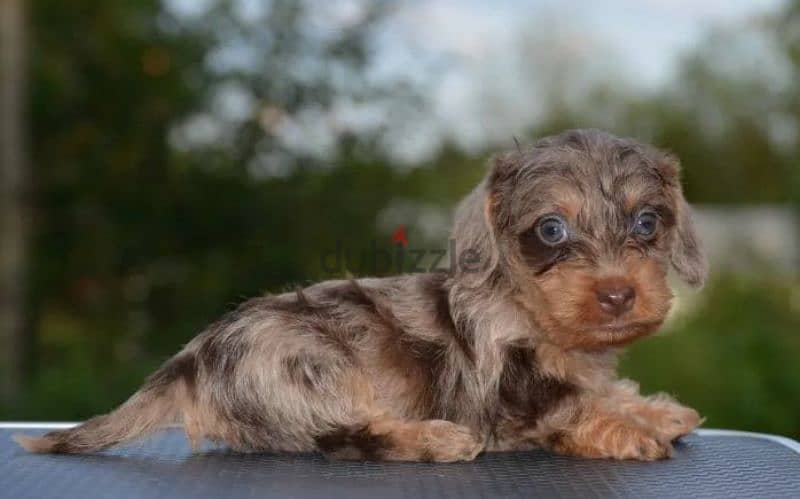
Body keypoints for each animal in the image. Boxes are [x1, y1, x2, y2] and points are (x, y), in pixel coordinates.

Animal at [15, 130, 708, 464]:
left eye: (647, 222)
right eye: (551, 230)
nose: (617, 294)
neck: (529, 311)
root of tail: (191, 360)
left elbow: (599, 389)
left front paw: (653, 410)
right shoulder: (510, 398)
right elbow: (569, 408)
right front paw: (625, 430)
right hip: (310, 365)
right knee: (346, 437)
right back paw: (435, 440)